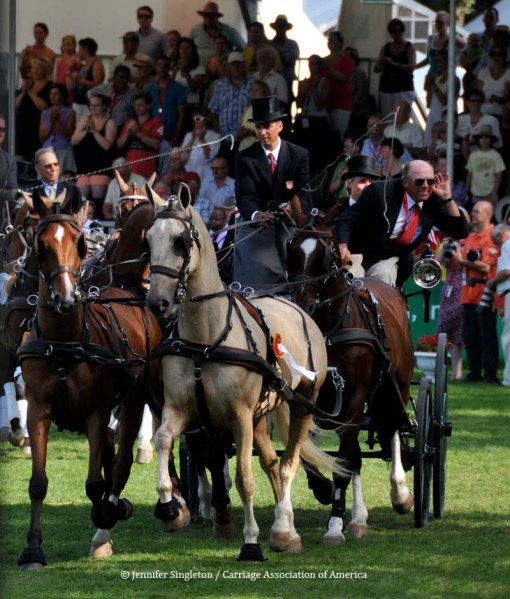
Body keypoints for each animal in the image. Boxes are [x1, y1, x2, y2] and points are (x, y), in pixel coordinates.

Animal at [16, 189, 189, 569]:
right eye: (41, 244)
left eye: (79, 242)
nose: (66, 298)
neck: (65, 342)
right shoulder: (38, 410)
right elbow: (37, 482)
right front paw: (32, 549)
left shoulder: (96, 411)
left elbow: (95, 483)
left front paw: (107, 512)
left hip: (144, 394)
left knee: (137, 451)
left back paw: (168, 506)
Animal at [144, 188, 345, 561]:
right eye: (148, 239)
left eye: (181, 241)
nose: (157, 303)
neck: (206, 341)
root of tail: (299, 309)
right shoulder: (182, 410)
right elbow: (163, 439)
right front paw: (168, 507)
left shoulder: (238, 417)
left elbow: (244, 478)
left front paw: (250, 541)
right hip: (259, 416)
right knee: (271, 462)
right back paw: (285, 526)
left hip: (302, 405)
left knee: (288, 463)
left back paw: (283, 530)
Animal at [286, 201, 415, 544]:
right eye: (291, 248)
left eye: (326, 253)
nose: (303, 304)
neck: (328, 329)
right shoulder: (309, 396)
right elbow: (310, 451)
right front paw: (325, 491)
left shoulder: (355, 398)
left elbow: (344, 459)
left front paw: (334, 525)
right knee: (358, 453)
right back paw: (358, 518)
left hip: (394, 388)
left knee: (393, 427)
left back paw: (399, 493)